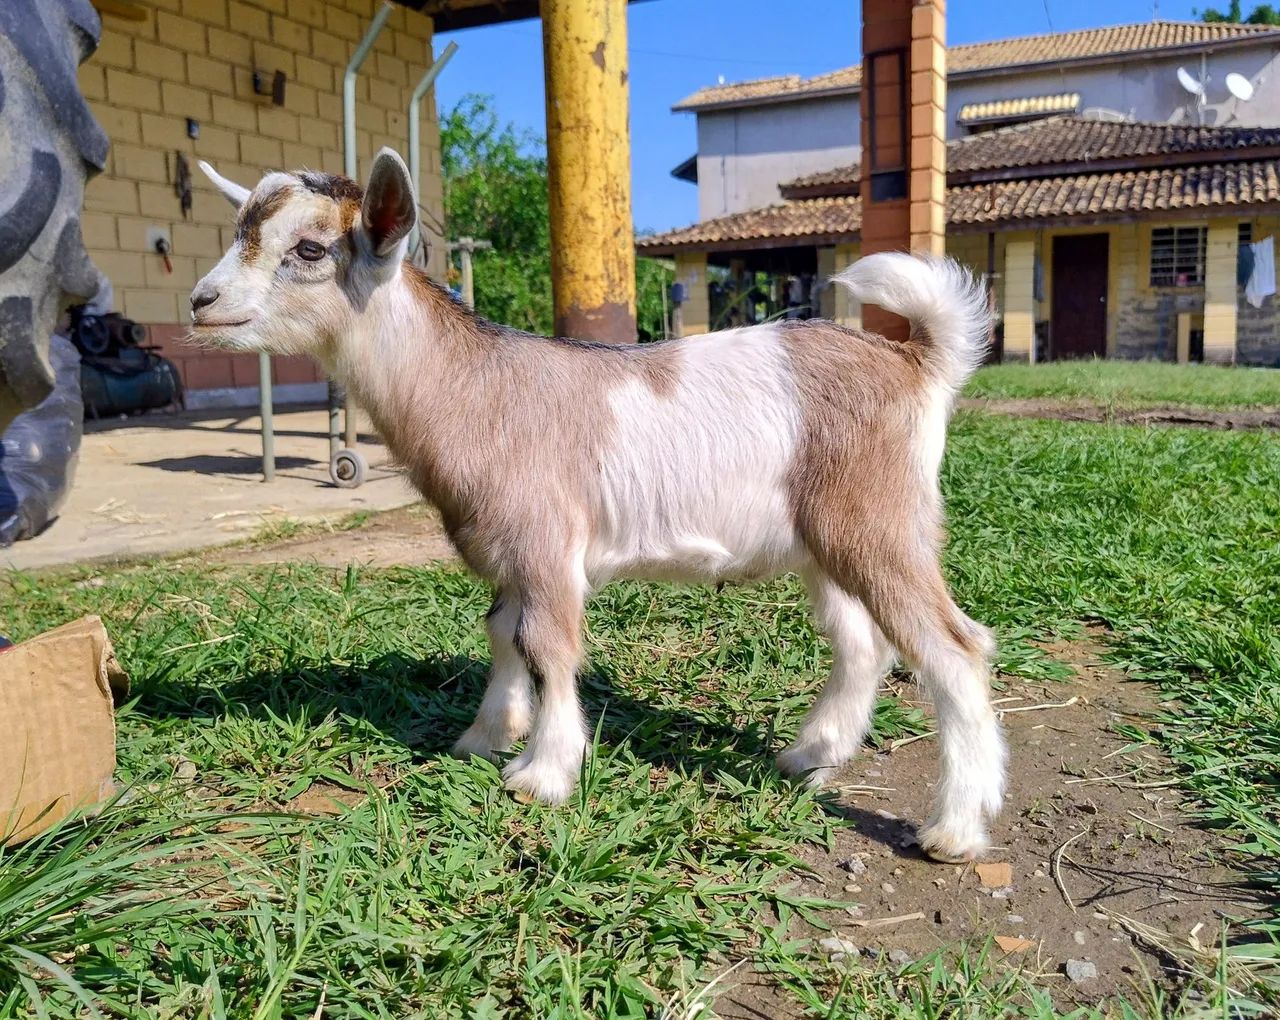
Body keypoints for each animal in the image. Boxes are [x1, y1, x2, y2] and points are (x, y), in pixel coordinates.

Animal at [189, 148, 1005, 862]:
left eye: (310, 248)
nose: (201, 302)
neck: (472, 388)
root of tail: (918, 364)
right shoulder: (509, 553)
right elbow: (502, 633)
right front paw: (485, 736)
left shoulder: (548, 543)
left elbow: (550, 645)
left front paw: (543, 773)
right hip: (824, 543)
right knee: (861, 642)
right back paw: (808, 755)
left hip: (880, 524)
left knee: (954, 648)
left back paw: (954, 828)